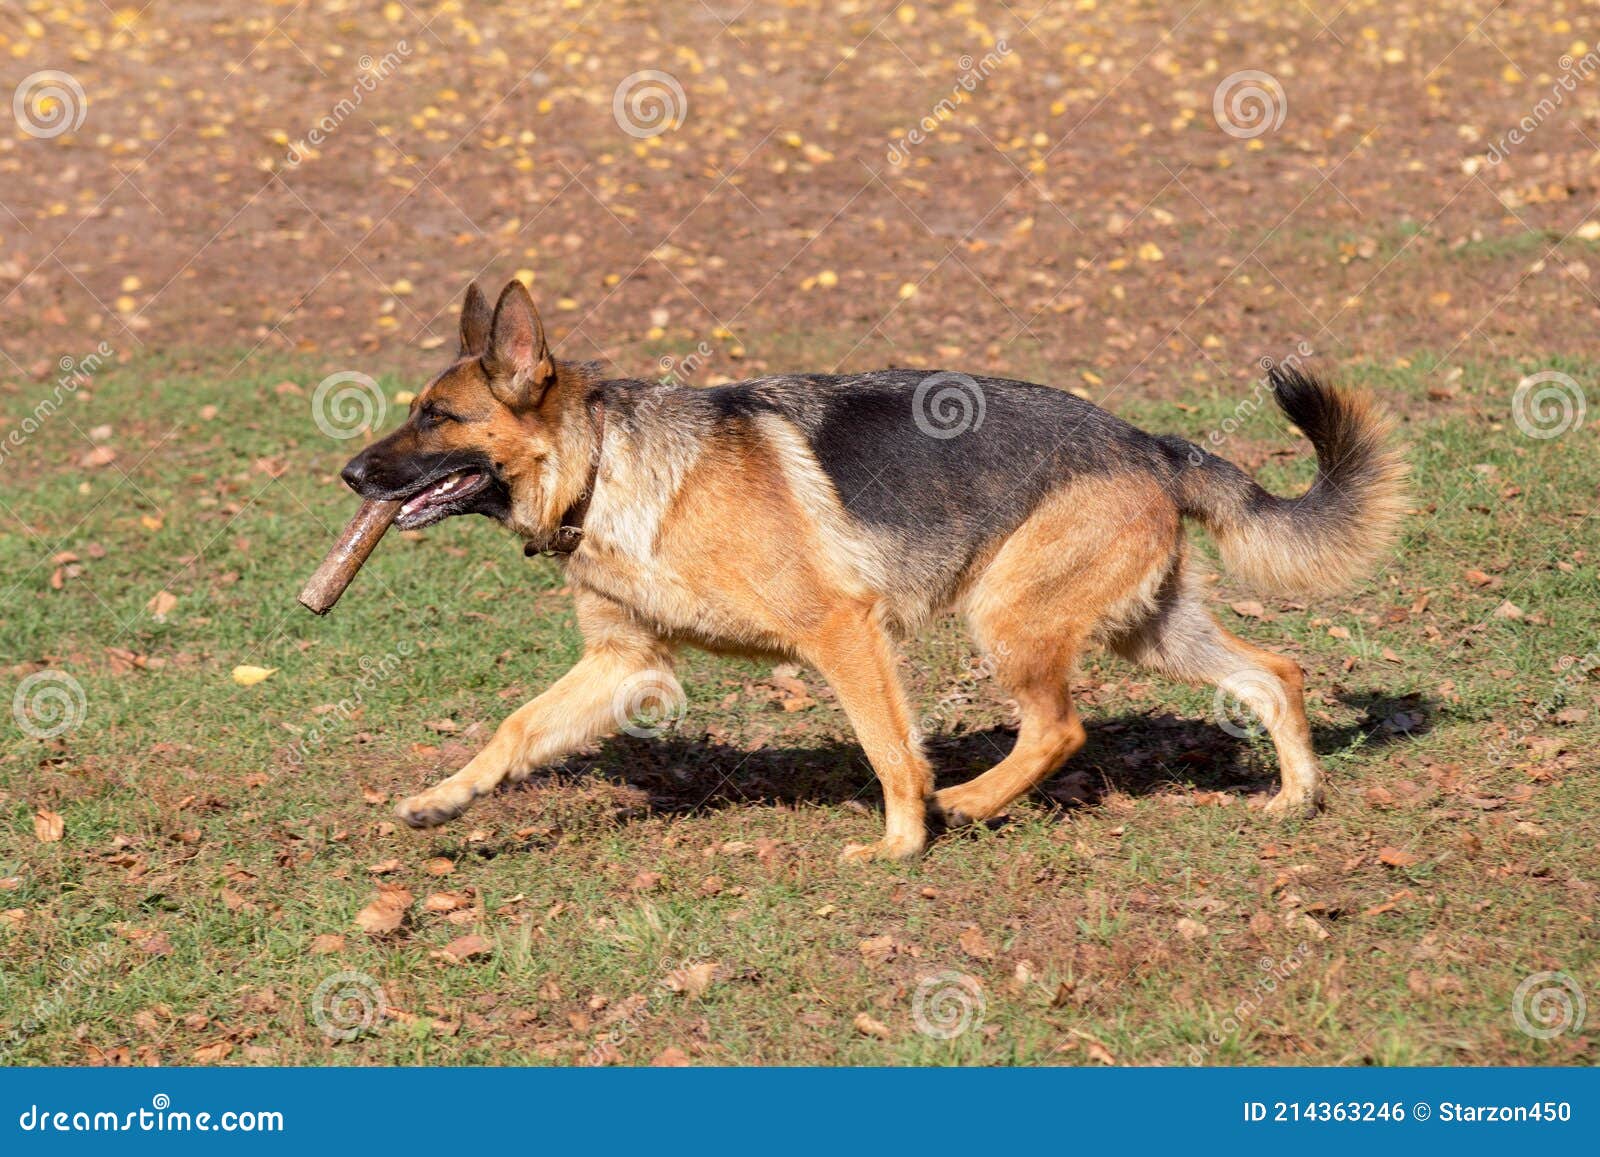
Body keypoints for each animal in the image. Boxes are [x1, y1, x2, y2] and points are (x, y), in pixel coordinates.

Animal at [344, 278, 1408, 857]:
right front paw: (444, 799)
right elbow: (515, 728)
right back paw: (1296, 797)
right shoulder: (627, 667)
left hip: (1008, 619)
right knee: (1276, 673)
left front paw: (901, 844)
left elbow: (891, 750)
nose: (349, 474)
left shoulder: (842, 633)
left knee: (1060, 728)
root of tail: (1150, 442)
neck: (606, 466)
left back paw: (970, 801)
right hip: (1151, 629)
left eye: (437, 418)